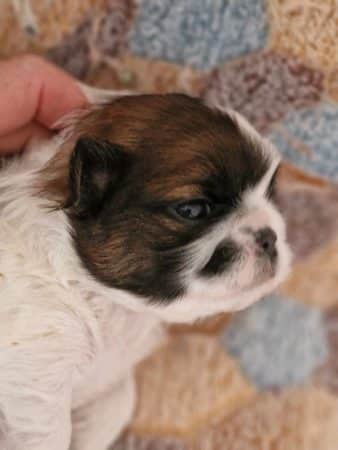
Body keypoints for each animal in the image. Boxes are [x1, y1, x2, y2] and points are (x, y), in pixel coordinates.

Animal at [0, 92, 290, 450]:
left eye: (270, 195)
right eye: (192, 209)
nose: (269, 237)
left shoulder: (109, 377)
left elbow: (119, 402)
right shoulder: (36, 380)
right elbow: (49, 434)